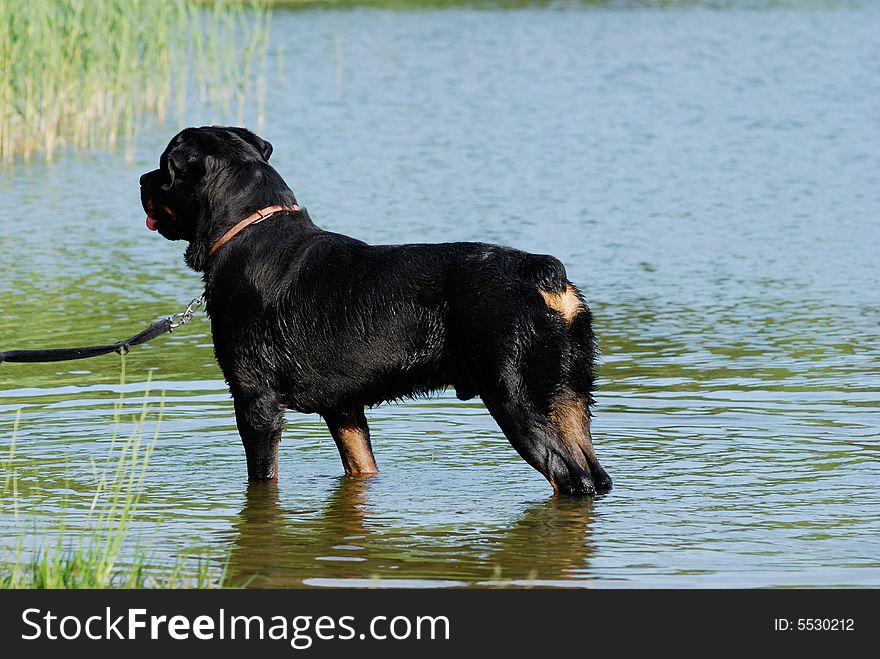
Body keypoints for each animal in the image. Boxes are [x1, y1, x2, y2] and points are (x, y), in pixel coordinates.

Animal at [139, 126, 612, 496]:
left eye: (163, 169)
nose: (141, 178)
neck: (245, 231)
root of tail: (544, 273)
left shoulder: (256, 401)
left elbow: (263, 478)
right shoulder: (343, 407)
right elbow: (361, 465)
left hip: (517, 397)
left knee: (570, 478)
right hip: (570, 399)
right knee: (596, 476)